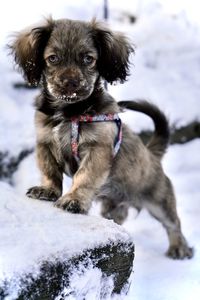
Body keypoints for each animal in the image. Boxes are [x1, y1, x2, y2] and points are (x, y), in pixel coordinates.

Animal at [9, 17, 194, 258]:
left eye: (88, 59)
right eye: (53, 58)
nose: (70, 82)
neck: (71, 112)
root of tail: (152, 153)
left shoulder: (96, 150)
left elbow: (84, 177)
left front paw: (74, 200)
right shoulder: (44, 143)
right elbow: (49, 171)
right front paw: (48, 191)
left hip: (159, 201)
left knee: (173, 223)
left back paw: (179, 248)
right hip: (115, 205)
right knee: (120, 215)